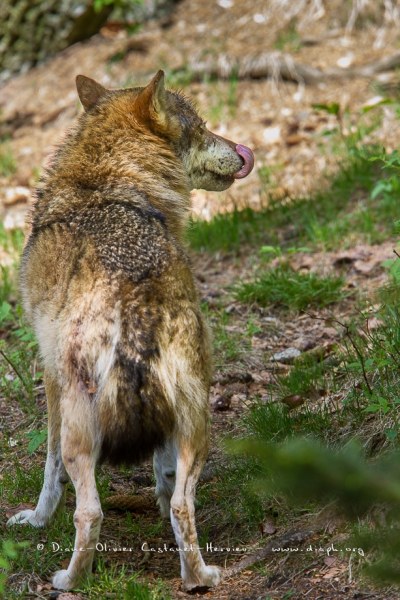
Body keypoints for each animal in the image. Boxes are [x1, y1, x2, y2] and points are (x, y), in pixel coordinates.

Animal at [7, 71, 253, 592]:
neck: (110, 181)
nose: (242, 152)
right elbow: (162, 471)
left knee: (89, 513)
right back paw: (199, 577)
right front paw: (157, 495)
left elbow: (49, 473)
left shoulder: (50, 379)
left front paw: (35, 521)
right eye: (203, 127)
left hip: (82, 431)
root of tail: (135, 302)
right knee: (182, 505)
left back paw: (69, 581)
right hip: (198, 420)